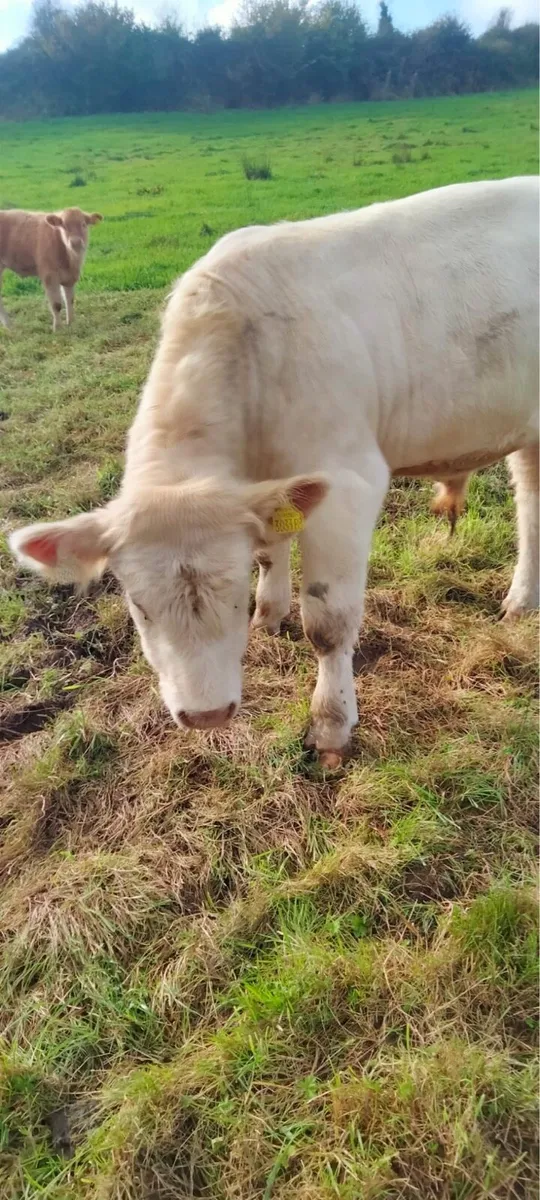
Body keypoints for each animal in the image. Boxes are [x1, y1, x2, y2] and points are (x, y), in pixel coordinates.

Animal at [9, 177, 539, 767]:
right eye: (139, 609)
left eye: (232, 595)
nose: (206, 715)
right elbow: (269, 549)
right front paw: (269, 614)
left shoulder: (347, 483)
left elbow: (328, 625)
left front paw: (330, 725)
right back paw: (523, 602)